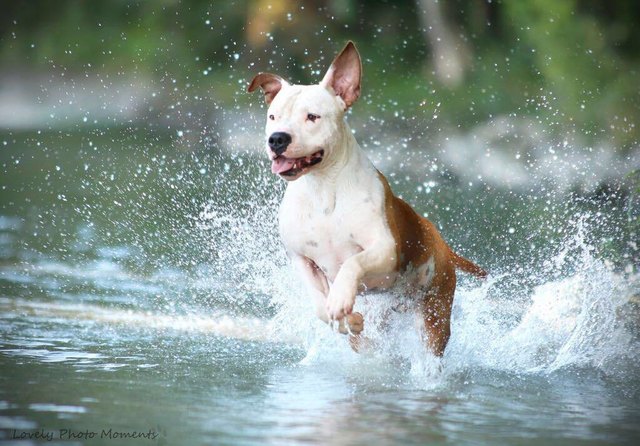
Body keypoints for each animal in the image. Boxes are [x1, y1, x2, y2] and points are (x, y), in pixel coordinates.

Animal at [249, 41, 484, 356]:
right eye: (273, 116)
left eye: (312, 117)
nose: (277, 138)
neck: (323, 188)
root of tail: (441, 242)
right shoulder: (300, 258)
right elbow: (319, 304)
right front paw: (347, 319)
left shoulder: (384, 249)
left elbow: (352, 263)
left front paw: (340, 301)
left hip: (435, 310)